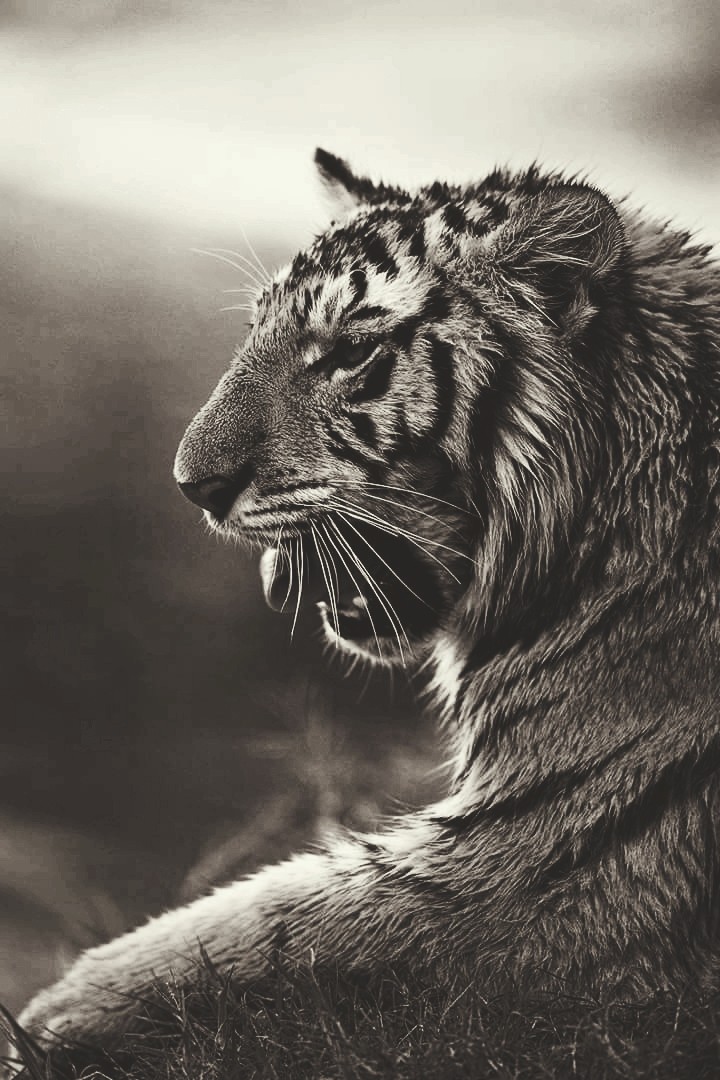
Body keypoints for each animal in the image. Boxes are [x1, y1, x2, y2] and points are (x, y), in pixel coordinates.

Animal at [17, 148, 720, 1054]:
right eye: (254, 331)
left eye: (351, 351)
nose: (192, 487)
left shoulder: (557, 849)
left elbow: (272, 926)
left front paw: (57, 1011)